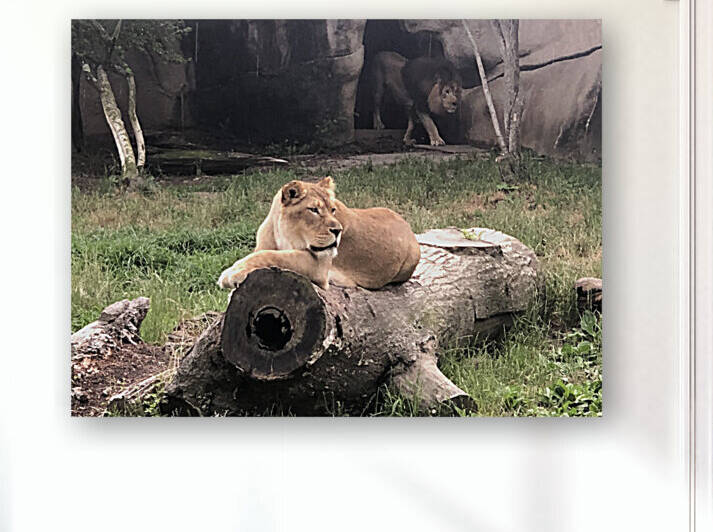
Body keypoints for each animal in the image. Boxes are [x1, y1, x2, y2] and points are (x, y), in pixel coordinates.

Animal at [218, 177, 421, 291]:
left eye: (333, 209)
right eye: (314, 210)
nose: (338, 231)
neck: (281, 232)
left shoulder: (319, 265)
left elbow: (273, 256)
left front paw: (232, 274)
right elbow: (259, 254)